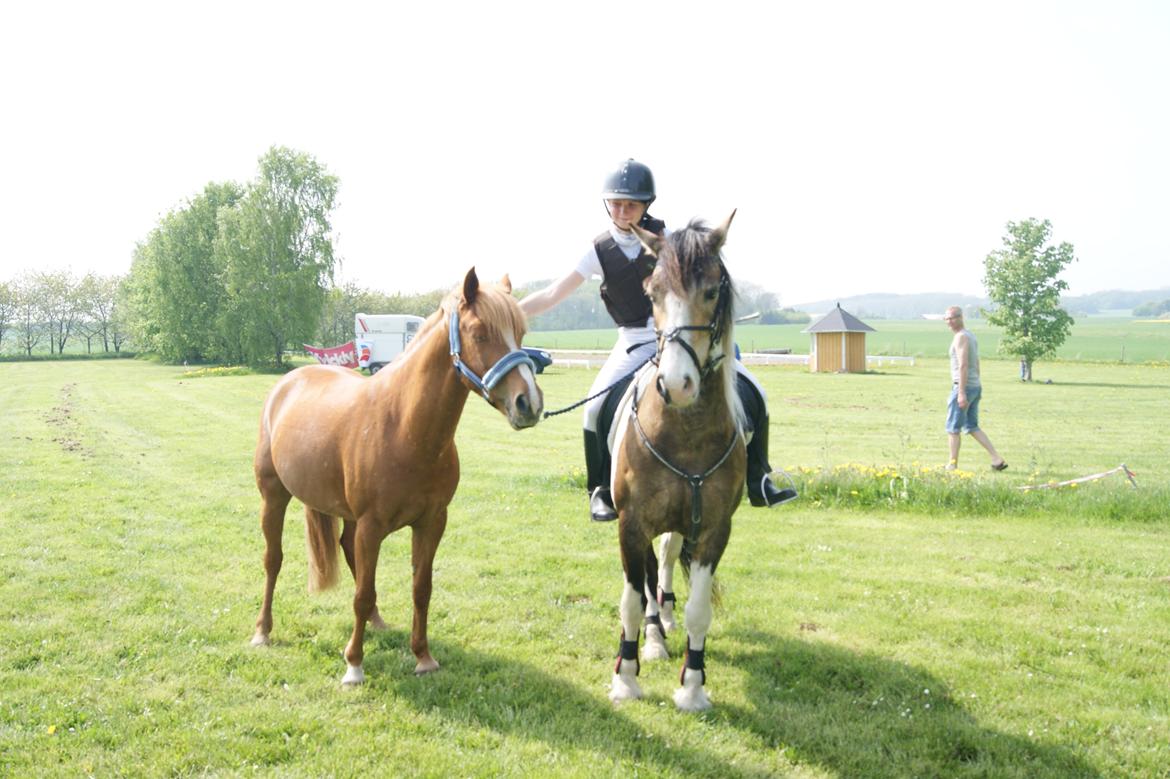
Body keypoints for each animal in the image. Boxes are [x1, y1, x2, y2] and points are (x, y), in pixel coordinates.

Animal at [250, 268, 543, 685]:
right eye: (479, 332)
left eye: (520, 333)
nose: (528, 403)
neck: (403, 427)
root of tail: (289, 382)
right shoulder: (373, 526)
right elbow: (361, 594)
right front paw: (354, 665)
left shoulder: (431, 522)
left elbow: (420, 589)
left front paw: (423, 656)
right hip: (273, 497)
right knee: (273, 559)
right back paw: (263, 630)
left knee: (347, 550)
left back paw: (378, 622)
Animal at [606, 212, 746, 712]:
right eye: (652, 294)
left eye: (710, 291)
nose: (677, 385)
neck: (685, 433)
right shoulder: (630, 523)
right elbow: (631, 601)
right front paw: (626, 679)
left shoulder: (715, 529)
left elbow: (697, 610)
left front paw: (692, 688)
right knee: (650, 578)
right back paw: (653, 636)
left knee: (665, 562)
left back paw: (664, 620)